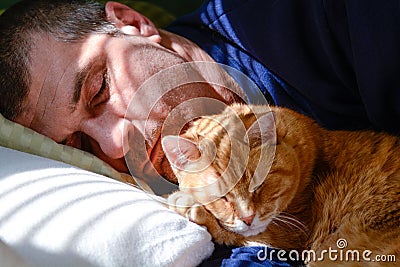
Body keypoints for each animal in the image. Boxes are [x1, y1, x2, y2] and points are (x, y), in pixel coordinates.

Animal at [162, 103, 400, 266]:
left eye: (258, 185)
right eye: (222, 197)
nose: (248, 218)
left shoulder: (294, 234)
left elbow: (235, 233)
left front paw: (183, 201)